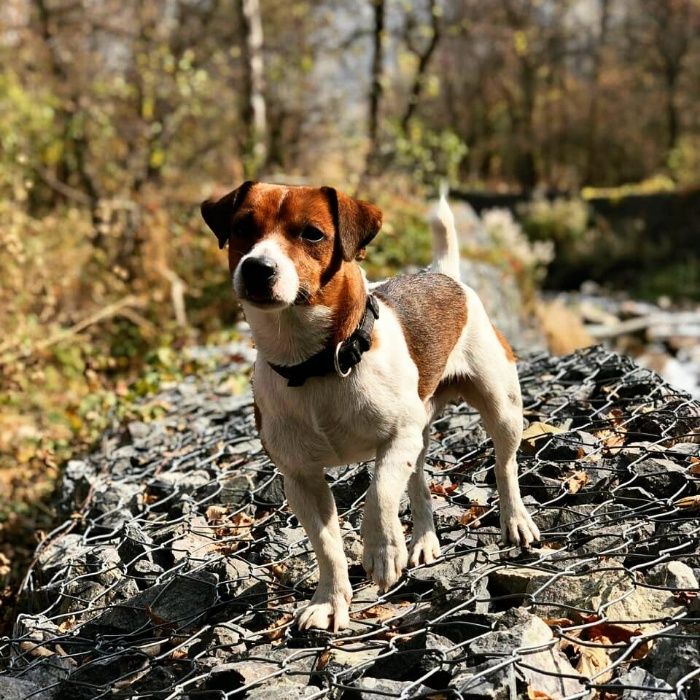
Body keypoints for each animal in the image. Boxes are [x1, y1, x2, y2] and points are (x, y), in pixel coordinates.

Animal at [202, 183, 540, 632]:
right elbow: (327, 545)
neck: (316, 364)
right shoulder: (300, 478)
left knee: (504, 465)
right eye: (242, 227)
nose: (258, 268)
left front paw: (382, 550)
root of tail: (444, 274)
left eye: (312, 234)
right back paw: (424, 540)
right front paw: (329, 601)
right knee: (417, 482)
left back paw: (515, 520)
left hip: (500, 406)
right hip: (421, 432)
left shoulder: (396, 437)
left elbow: (377, 495)